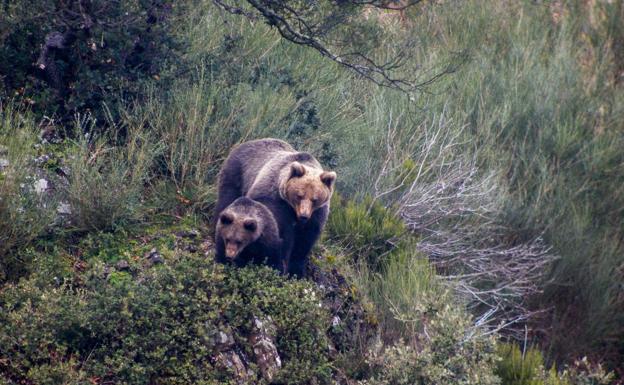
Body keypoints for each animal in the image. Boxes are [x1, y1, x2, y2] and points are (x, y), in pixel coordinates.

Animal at [217, 138, 338, 276]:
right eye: (299, 195)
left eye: (315, 199)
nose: (304, 215)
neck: (292, 208)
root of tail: (250, 141)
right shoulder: (274, 199)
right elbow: (282, 234)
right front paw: (283, 265)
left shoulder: (317, 214)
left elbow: (305, 240)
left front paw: (297, 271)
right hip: (236, 172)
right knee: (227, 198)